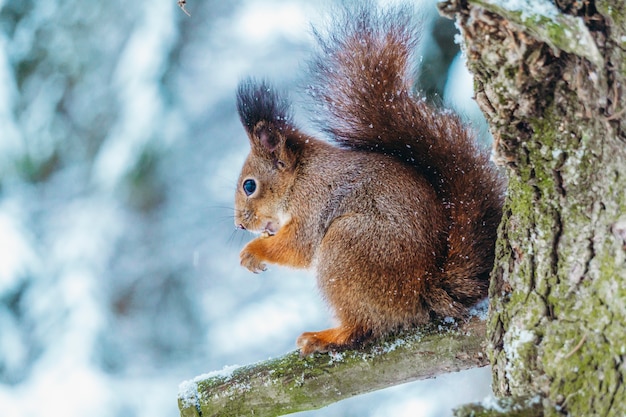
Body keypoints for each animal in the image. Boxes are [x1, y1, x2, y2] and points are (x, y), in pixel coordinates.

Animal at [233, 1, 502, 356]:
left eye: (249, 185)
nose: (239, 225)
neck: (300, 176)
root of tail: (420, 296)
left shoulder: (313, 202)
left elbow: (299, 246)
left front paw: (253, 250)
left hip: (346, 248)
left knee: (364, 326)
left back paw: (327, 337)